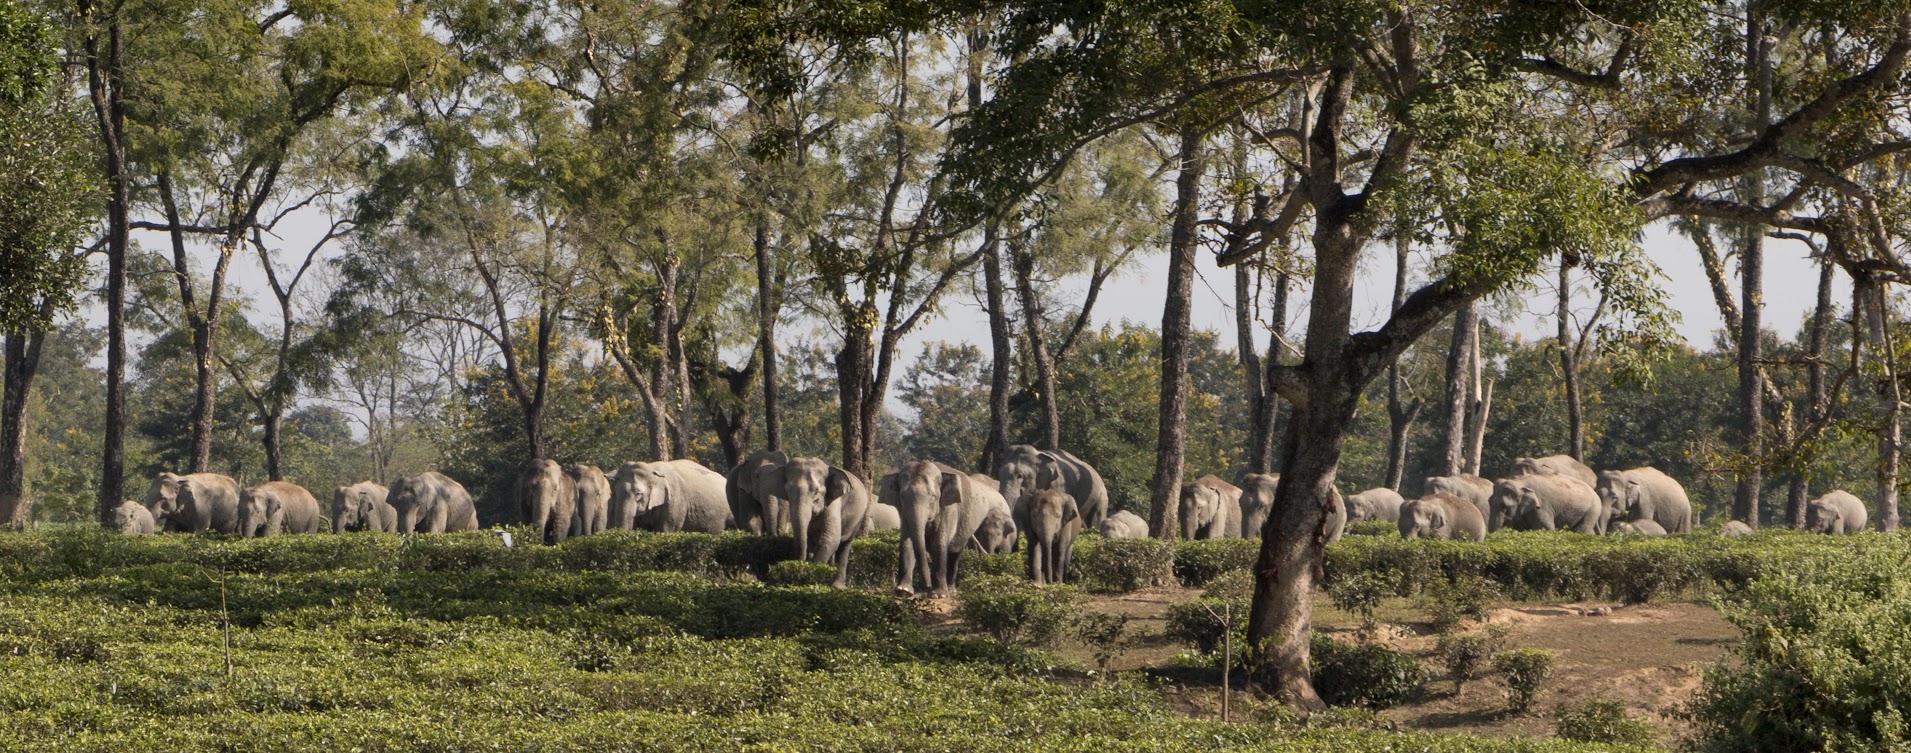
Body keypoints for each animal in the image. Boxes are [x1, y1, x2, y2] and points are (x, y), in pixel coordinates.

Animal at [780, 457, 870, 588]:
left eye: (816, 491)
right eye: (787, 489)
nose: (799, 565)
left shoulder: (834, 502)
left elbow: (831, 538)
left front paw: (811, 575)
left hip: (858, 518)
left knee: (844, 545)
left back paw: (837, 585)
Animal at [895, 460, 1004, 596]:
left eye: (932, 497)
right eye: (902, 496)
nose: (928, 586)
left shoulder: (948, 510)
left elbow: (938, 544)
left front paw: (939, 595)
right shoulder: (904, 513)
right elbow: (907, 542)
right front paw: (903, 590)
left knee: (955, 553)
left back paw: (951, 590)